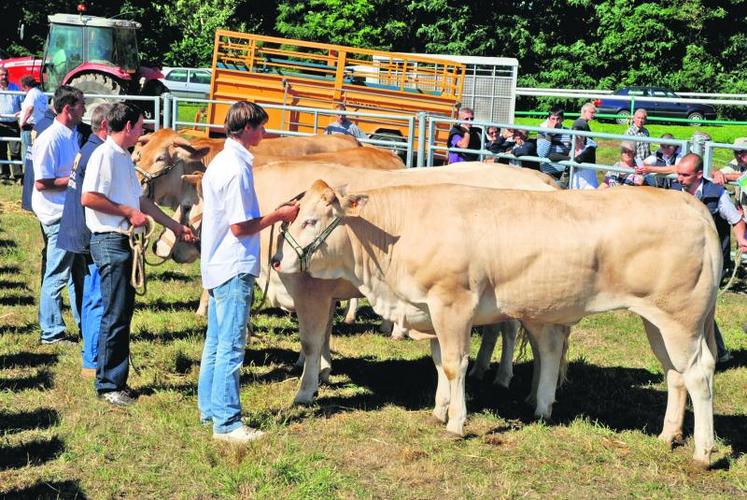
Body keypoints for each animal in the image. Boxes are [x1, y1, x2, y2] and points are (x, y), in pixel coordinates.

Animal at [274, 181, 720, 464]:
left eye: (311, 221)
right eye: (295, 216)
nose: (278, 260)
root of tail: (691, 204)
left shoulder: (452, 303)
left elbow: (455, 364)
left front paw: (456, 423)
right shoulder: (430, 309)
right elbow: (439, 361)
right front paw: (439, 409)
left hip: (681, 318)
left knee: (699, 374)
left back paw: (703, 452)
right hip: (656, 320)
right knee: (675, 374)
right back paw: (667, 435)